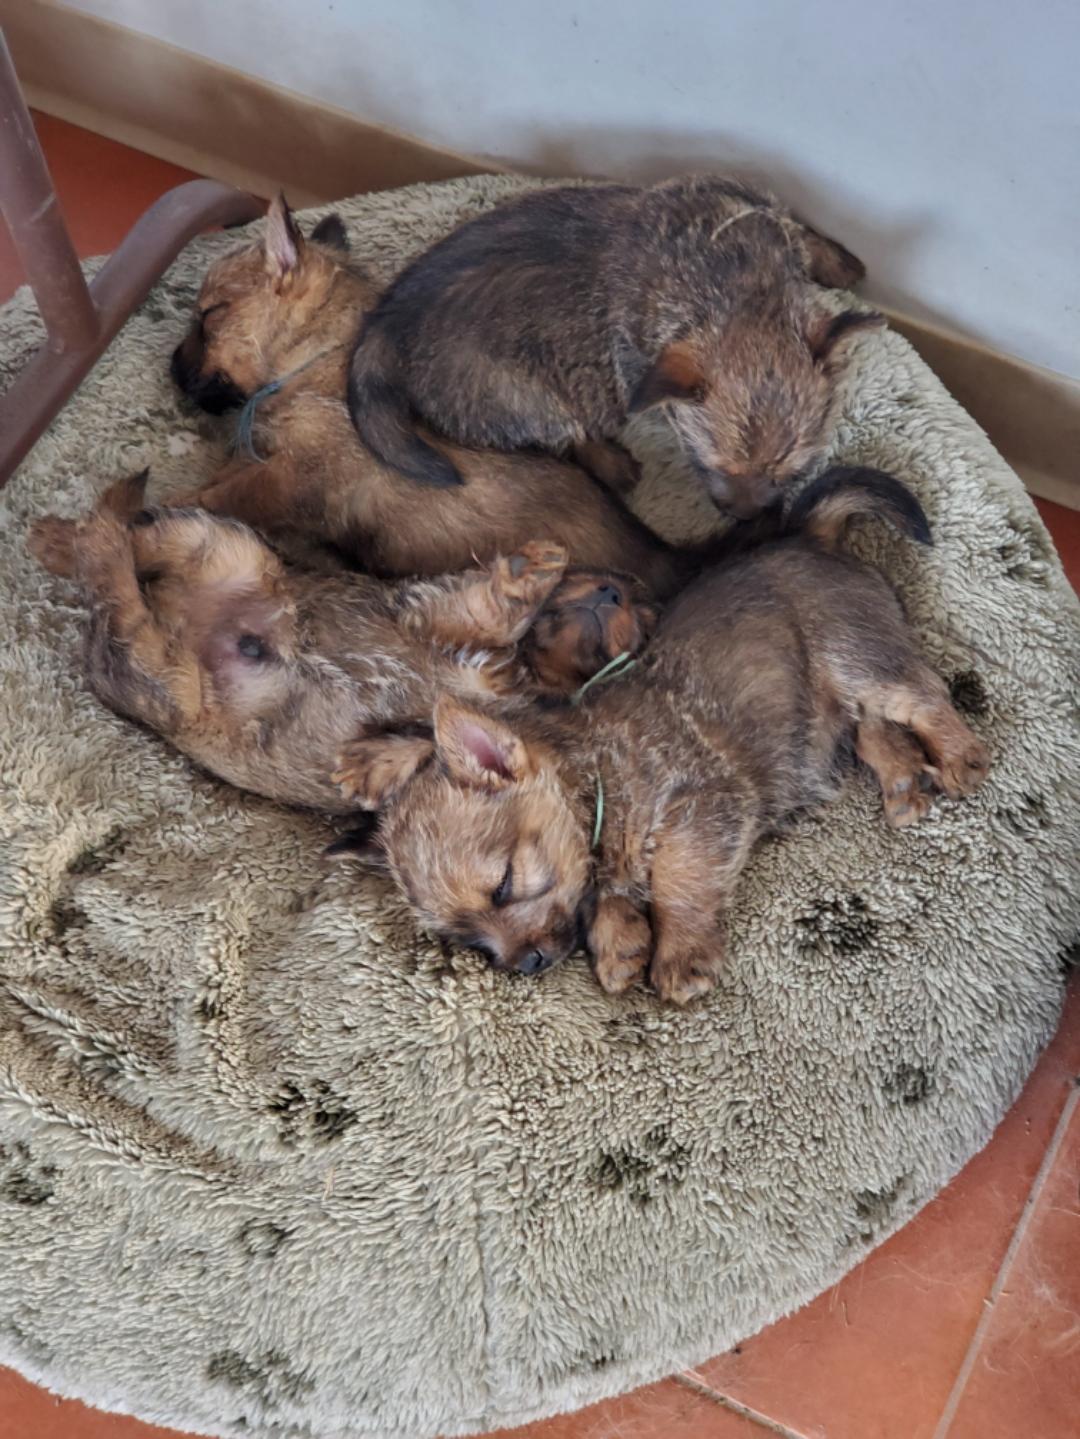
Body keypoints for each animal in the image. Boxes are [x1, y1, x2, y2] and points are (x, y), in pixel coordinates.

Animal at [29, 473, 654, 814]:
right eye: (613, 582)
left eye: (642, 611)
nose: (612, 594)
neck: (516, 671)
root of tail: (175, 608)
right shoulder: (424, 605)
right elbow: (486, 610)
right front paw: (534, 571)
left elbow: (430, 734)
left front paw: (371, 763)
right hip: (228, 548)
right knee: (128, 551)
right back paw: (63, 537)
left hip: (175, 664)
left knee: (123, 587)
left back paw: (81, 545)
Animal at [170, 195, 703, 598]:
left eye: (209, 315)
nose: (171, 368)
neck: (314, 359)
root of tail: (667, 557)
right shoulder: (267, 459)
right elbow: (221, 478)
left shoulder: (289, 477)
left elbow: (220, 496)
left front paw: (170, 507)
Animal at [331, 467, 991, 995]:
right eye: (469, 940)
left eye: (503, 887)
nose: (526, 965)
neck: (592, 775)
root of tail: (810, 536)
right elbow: (614, 894)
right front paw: (620, 944)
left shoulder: (702, 807)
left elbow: (678, 881)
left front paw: (679, 955)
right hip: (840, 686)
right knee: (874, 725)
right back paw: (904, 782)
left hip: (857, 657)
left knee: (921, 694)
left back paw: (960, 757)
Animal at [346, 176, 881, 518]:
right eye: (710, 464)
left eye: (787, 471)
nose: (745, 517)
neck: (737, 288)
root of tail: (390, 318)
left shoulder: (745, 200)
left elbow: (796, 227)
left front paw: (836, 259)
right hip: (518, 393)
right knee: (561, 430)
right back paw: (608, 459)